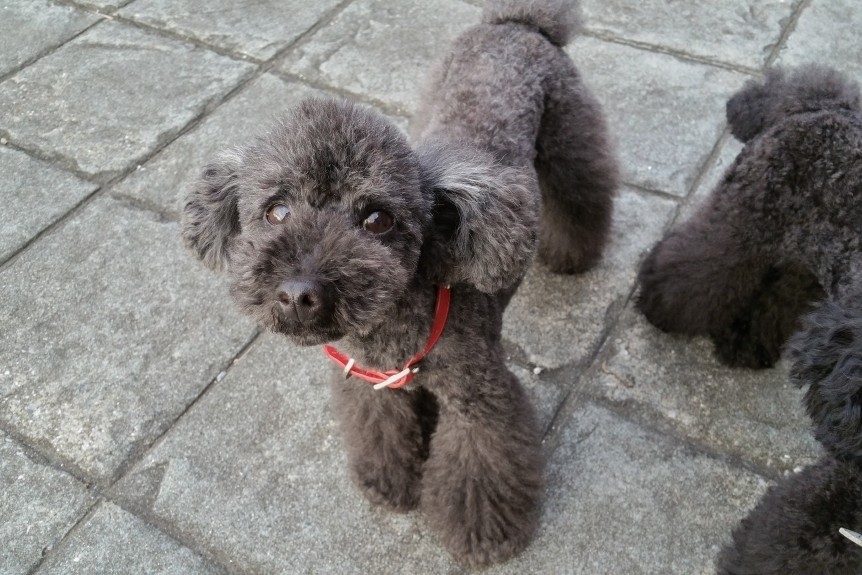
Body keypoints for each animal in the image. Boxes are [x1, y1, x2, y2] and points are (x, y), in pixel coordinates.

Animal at [182, 0, 616, 567]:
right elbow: (382, 428)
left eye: (377, 220)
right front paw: (389, 482)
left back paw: (573, 255)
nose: (298, 294)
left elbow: (481, 466)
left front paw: (483, 534)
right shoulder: (372, 385)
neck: (394, 326)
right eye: (276, 211)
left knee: (584, 186)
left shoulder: (480, 397)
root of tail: (517, 22)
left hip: (568, 136)